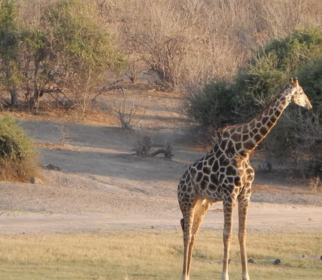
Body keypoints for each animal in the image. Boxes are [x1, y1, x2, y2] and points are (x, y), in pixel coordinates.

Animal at [179, 77, 312, 280]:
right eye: (301, 91)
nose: (310, 105)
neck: (245, 149)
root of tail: (179, 183)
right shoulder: (229, 194)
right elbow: (227, 233)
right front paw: (224, 275)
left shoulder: (245, 193)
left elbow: (242, 233)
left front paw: (246, 275)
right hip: (187, 201)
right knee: (186, 234)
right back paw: (184, 275)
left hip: (202, 203)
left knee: (193, 232)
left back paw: (188, 272)